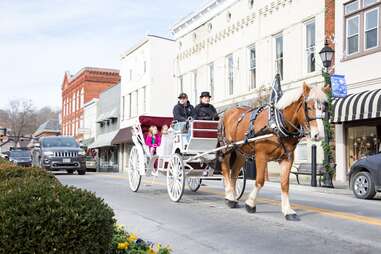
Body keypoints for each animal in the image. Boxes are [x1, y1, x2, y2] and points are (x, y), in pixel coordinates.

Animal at [220, 83, 326, 220]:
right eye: (308, 107)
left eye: (324, 108)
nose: (319, 135)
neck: (277, 124)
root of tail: (228, 112)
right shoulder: (261, 156)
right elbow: (260, 181)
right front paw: (250, 204)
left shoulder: (287, 158)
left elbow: (285, 184)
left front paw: (288, 211)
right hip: (227, 148)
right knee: (225, 170)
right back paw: (229, 196)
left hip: (240, 152)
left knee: (234, 173)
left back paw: (232, 198)